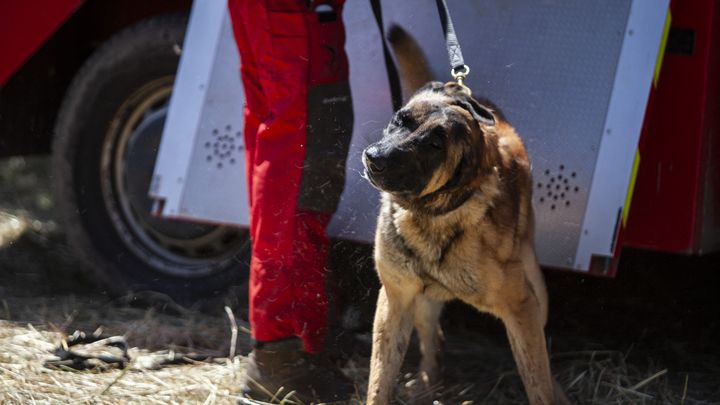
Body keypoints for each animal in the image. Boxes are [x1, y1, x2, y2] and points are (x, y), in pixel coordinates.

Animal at [362, 28, 564, 404]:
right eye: (400, 119)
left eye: (435, 145)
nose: (375, 158)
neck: (432, 214)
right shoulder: (395, 300)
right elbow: (379, 380)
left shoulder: (522, 306)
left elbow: (538, 380)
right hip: (421, 303)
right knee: (434, 339)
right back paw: (427, 384)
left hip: (537, 289)